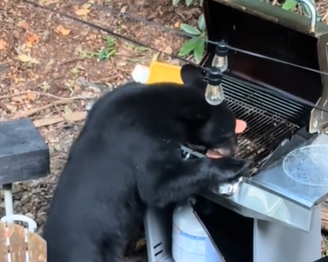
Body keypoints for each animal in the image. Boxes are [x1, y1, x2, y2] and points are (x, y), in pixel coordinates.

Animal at [43, 64, 249, 262]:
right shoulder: (145, 138)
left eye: (233, 130)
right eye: (227, 134)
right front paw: (235, 165)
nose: (235, 149)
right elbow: (158, 185)